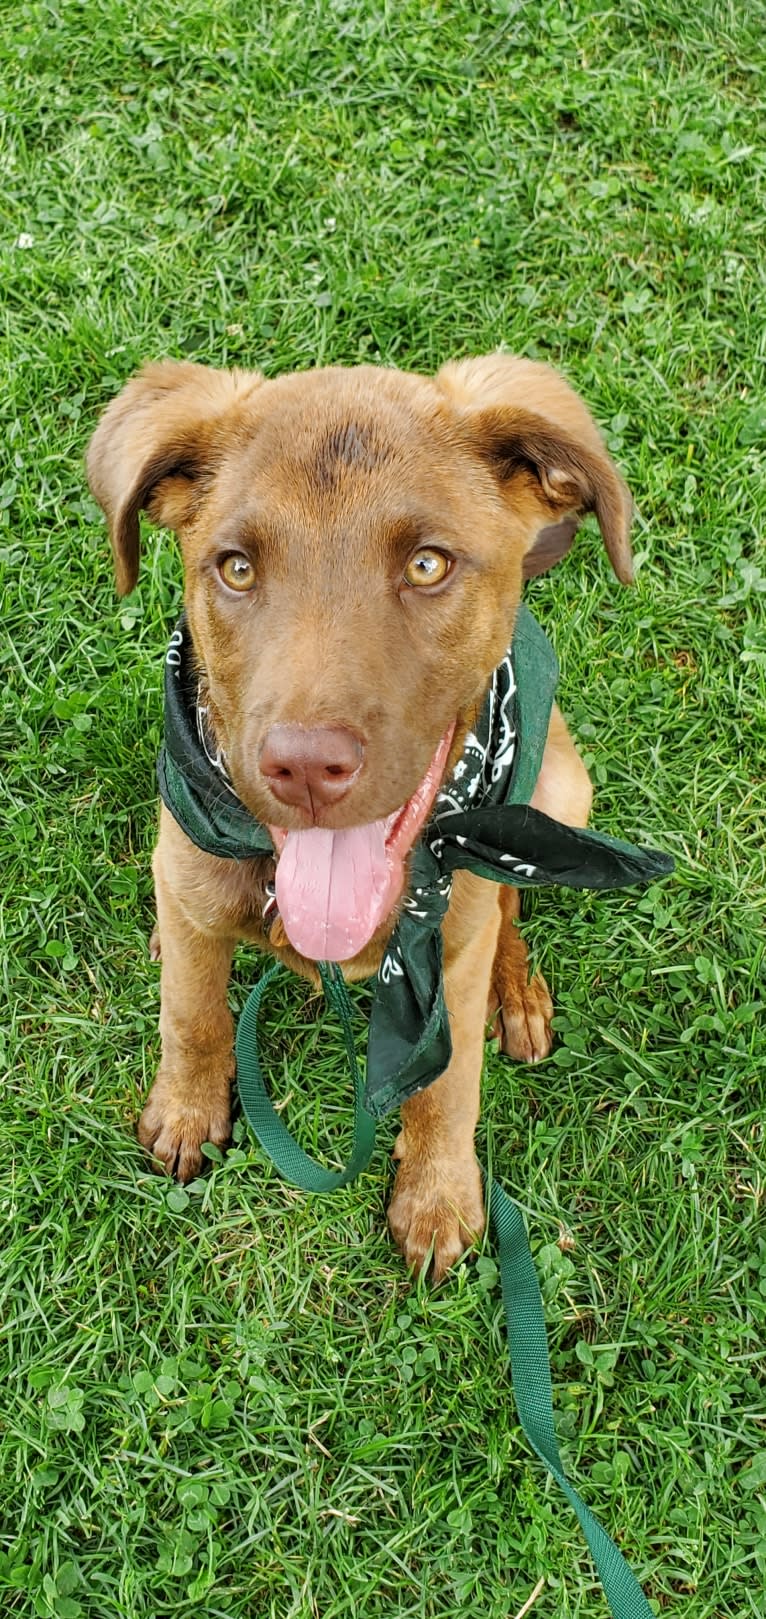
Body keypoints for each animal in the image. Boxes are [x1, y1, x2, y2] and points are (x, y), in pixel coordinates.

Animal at [86, 354, 631, 1275]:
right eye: (236, 568)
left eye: (428, 566)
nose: (305, 767)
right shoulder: (192, 871)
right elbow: (191, 1011)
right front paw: (188, 1109)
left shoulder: (447, 953)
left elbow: (447, 1084)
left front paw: (439, 1194)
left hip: (559, 788)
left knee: (508, 902)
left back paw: (514, 991)